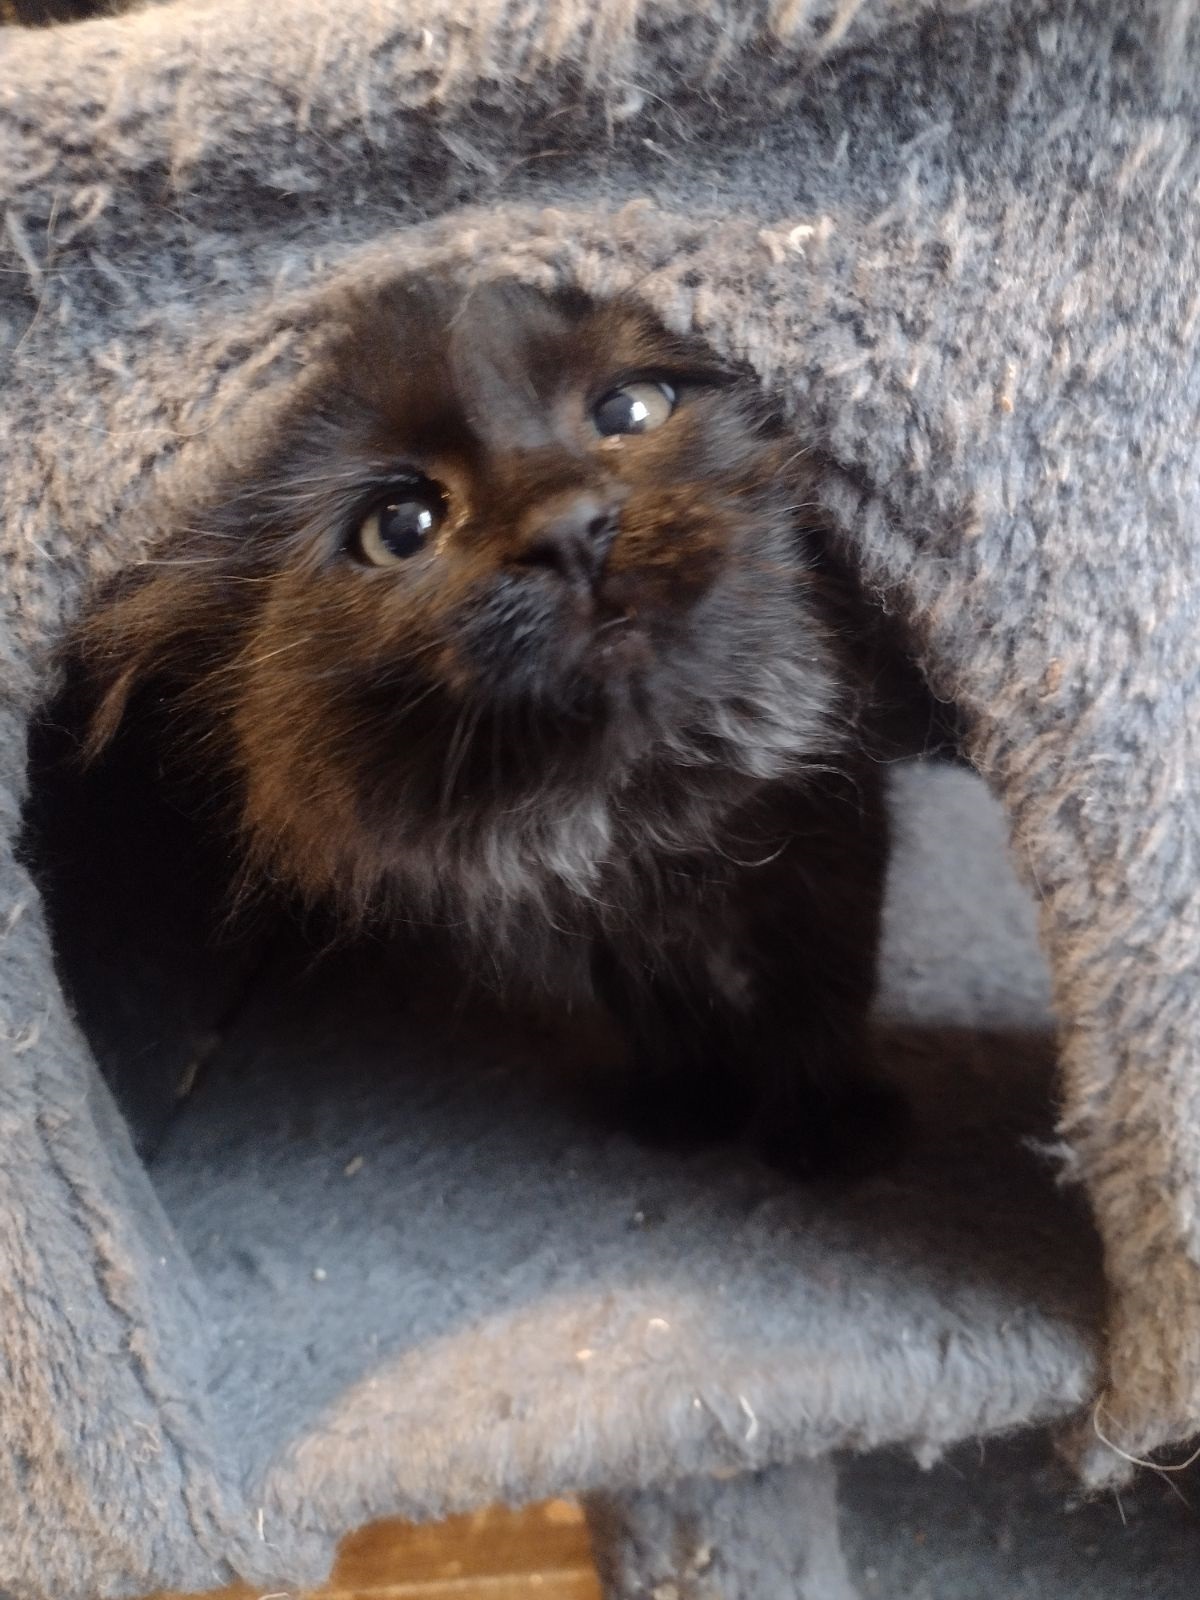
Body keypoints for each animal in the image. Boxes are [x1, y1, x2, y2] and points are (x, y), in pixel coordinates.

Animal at [70, 278, 908, 1177]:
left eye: (635, 409)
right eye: (400, 525)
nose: (567, 528)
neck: (636, 809)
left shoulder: (829, 843)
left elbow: (817, 997)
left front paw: (819, 1127)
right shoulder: (602, 930)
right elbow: (662, 1008)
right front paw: (691, 1100)